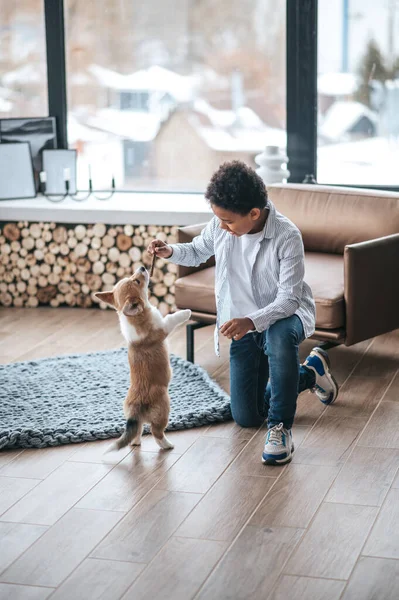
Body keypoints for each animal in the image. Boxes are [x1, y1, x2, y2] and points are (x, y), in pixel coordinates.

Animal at [95, 264, 192, 452]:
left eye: (133, 277)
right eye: (137, 281)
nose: (142, 267)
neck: (134, 317)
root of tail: (135, 413)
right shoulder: (163, 327)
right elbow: (171, 318)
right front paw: (185, 312)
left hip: (136, 421)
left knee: (136, 434)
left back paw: (137, 442)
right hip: (164, 409)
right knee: (157, 433)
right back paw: (168, 445)